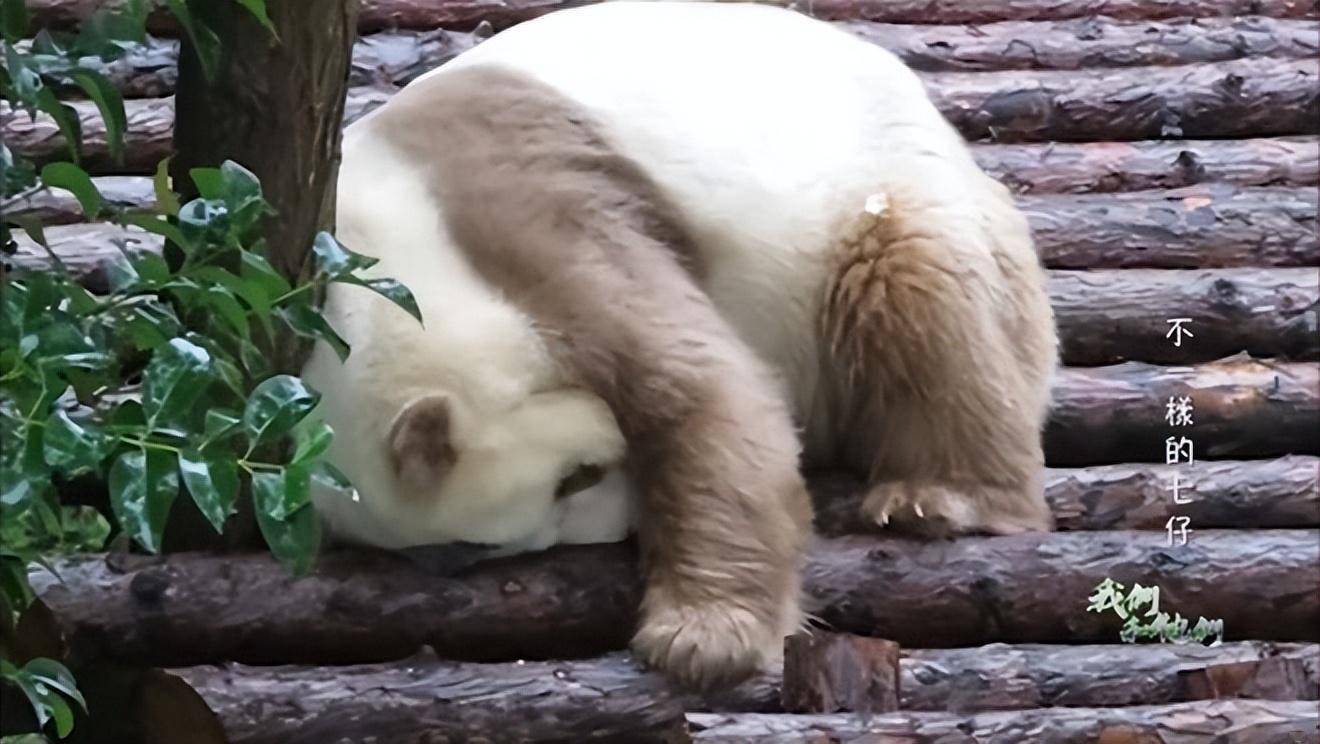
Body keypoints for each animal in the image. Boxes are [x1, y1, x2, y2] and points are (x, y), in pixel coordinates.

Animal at [303, 0, 1058, 690]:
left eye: (575, 478)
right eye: (487, 545)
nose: (627, 522)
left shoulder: (516, 213)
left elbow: (693, 383)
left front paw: (701, 641)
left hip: (888, 189)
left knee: (915, 289)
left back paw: (937, 497)